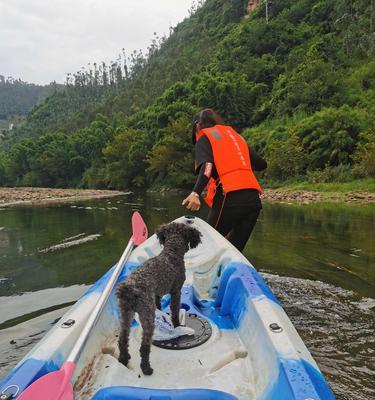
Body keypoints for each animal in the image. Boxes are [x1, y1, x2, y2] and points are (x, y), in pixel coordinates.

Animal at [117, 222, 203, 376]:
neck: (171, 253)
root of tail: (130, 289)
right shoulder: (176, 291)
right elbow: (175, 311)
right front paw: (177, 325)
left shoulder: (157, 295)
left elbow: (160, 306)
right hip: (147, 315)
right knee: (144, 346)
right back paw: (146, 368)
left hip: (126, 314)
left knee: (122, 339)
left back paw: (123, 359)